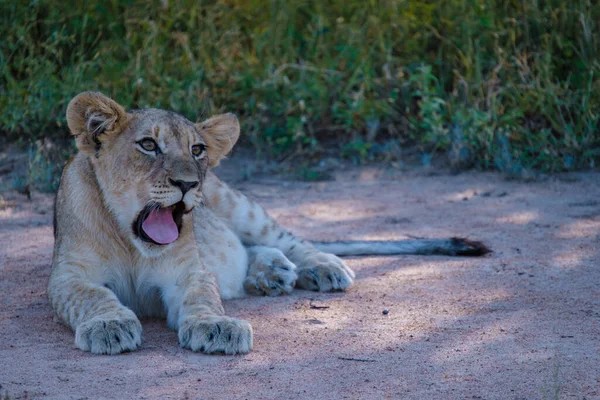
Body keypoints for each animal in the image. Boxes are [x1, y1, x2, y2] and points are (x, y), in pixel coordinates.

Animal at [48, 92, 488, 354]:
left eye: (197, 149)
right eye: (148, 145)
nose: (189, 184)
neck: (132, 241)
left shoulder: (189, 272)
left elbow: (203, 297)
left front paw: (218, 327)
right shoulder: (67, 277)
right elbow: (94, 296)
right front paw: (109, 326)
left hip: (236, 203)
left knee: (287, 239)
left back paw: (319, 268)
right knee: (246, 252)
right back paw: (272, 273)